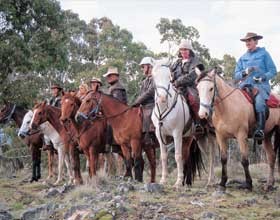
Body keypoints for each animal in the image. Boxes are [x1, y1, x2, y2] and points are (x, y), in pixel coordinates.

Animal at [152, 58, 215, 187]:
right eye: (154, 76)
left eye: (169, 77)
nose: (162, 97)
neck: (164, 108)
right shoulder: (160, 135)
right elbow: (164, 156)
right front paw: (163, 180)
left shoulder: (177, 134)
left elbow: (177, 156)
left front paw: (178, 181)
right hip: (196, 138)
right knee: (198, 154)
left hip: (210, 135)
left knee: (212, 155)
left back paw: (211, 180)